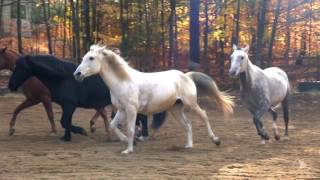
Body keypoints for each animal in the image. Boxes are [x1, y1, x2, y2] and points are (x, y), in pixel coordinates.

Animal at [8, 54, 166, 141]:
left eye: (19, 67)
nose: (11, 85)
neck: (63, 78)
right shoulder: (67, 106)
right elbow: (66, 121)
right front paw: (66, 137)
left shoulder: (69, 105)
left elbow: (64, 121)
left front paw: (80, 131)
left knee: (142, 118)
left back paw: (142, 135)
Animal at [75, 44, 235, 154]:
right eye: (83, 57)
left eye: (91, 58)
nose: (77, 74)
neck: (123, 81)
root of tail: (186, 76)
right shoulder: (121, 110)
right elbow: (113, 125)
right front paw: (129, 141)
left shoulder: (131, 110)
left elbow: (131, 129)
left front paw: (128, 149)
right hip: (176, 109)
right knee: (188, 125)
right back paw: (188, 145)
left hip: (192, 104)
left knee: (204, 116)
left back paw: (216, 140)